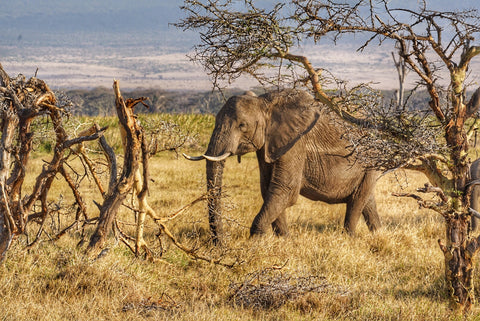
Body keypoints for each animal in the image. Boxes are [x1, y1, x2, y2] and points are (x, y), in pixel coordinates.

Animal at [185, 88, 382, 240]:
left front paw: (255, 243)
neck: (264, 103)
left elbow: (285, 188)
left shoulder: (296, 142)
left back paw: (349, 237)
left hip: (370, 160)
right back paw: (378, 233)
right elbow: (268, 188)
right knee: (366, 199)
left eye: (242, 125)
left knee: (357, 200)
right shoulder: (268, 144)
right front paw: (284, 240)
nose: (219, 244)